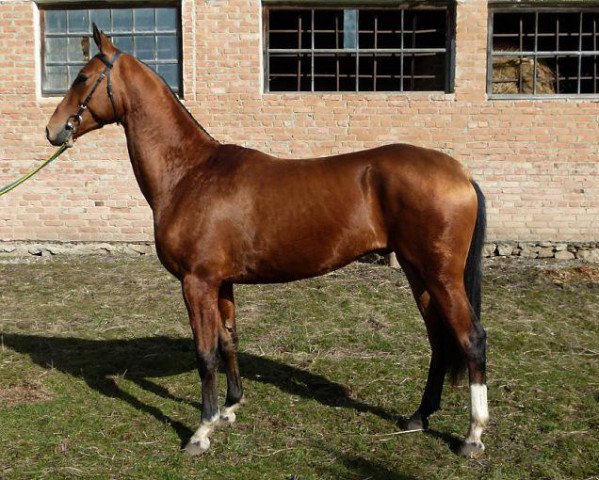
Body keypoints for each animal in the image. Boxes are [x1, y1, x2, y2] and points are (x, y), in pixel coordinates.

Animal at [45, 25, 488, 458]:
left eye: (82, 76)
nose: (52, 130)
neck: (189, 173)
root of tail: (461, 173)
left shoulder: (196, 283)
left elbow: (205, 352)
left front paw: (201, 432)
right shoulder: (221, 282)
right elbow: (228, 341)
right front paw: (230, 408)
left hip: (442, 276)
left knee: (470, 338)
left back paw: (472, 435)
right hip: (418, 273)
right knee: (439, 340)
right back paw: (419, 417)